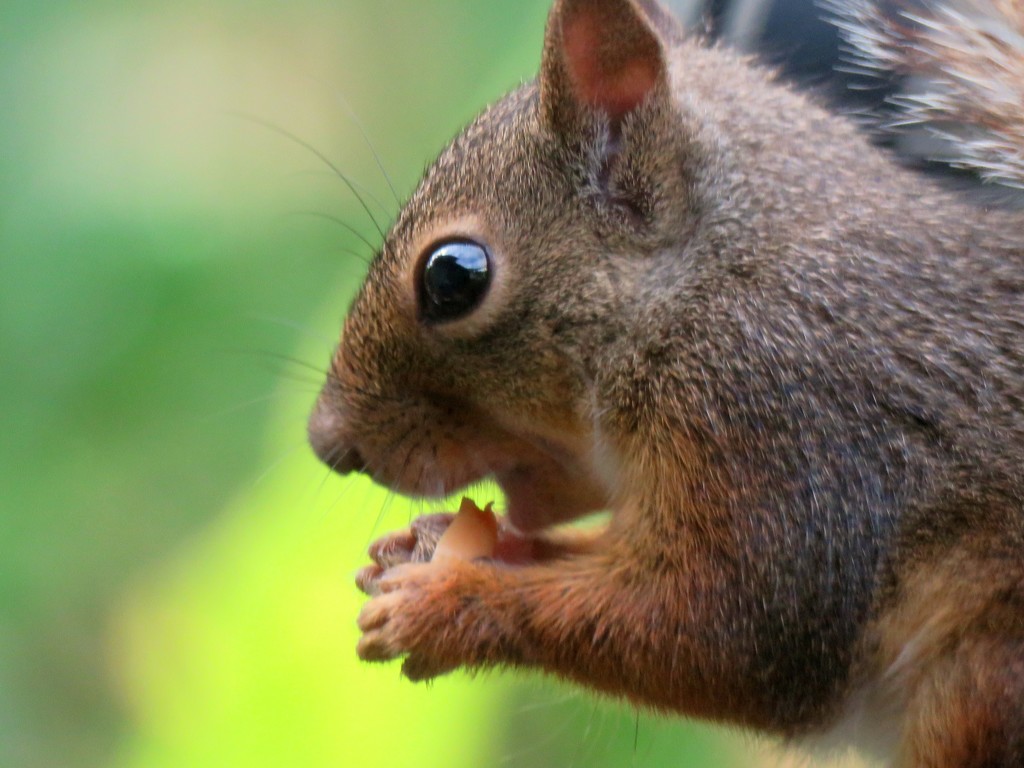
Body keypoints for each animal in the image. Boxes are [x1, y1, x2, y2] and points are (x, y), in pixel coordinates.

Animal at [307, 0, 1024, 765]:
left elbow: (722, 637)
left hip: (983, 677)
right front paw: (441, 541)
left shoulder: (783, 426)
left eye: (451, 277)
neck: (704, 282)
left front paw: (444, 607)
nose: (327, 442)